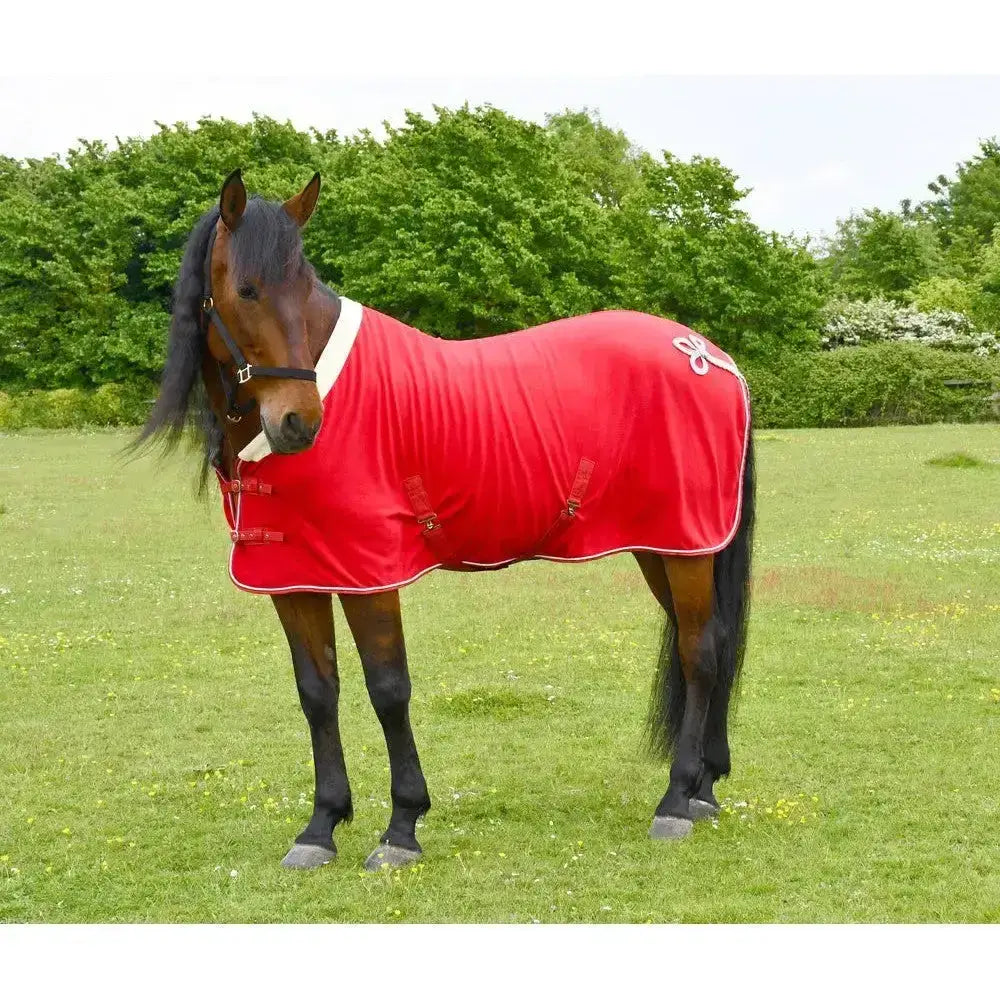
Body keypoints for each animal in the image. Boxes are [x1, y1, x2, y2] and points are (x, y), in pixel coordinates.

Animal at [138, 169, 755, 871]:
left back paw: (676, 799)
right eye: (246, 289)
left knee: (699, 652)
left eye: (303, 283)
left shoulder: (369, 574)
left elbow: (388, 689)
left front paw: (401, 827)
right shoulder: (294, 577)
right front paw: (321, 826)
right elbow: (317, 692)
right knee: (706, 643)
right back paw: (704, 788)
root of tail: (707, 355)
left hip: (685, 545)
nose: (300, 422)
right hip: (664, 546)